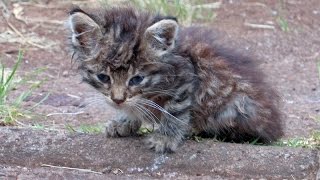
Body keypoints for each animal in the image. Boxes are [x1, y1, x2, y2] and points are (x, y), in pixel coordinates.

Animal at [66, 6, 282, 152]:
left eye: (136, 79)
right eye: (103, 77)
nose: (117, 100)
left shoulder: (185, 80)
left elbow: (174, 111)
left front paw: (165, 138)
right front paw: (124, 121)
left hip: (238, 104)